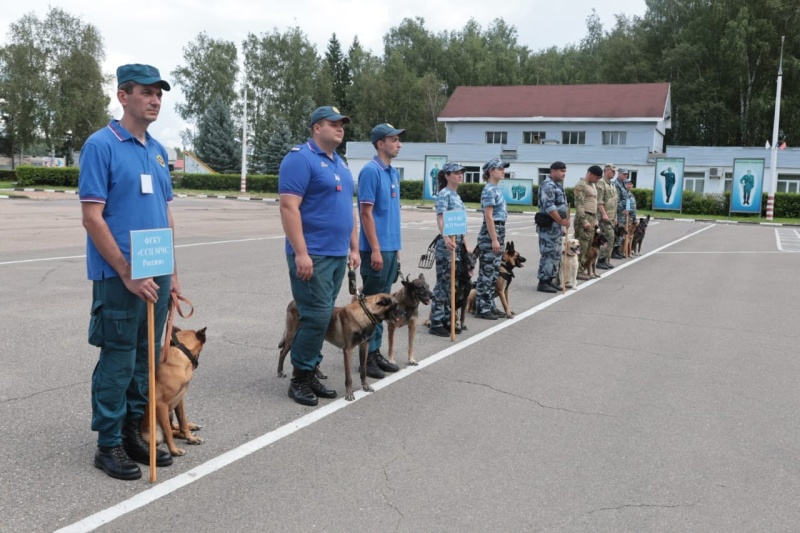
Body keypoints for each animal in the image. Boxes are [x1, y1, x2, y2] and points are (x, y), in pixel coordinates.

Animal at [142, 326, 208, 456]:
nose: (197, 364)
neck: (180, 351)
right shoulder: (160, 405)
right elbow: (168, 432)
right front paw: (173, 450)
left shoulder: (179, 399)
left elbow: (183, 421)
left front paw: (190, 438)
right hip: (156, 432)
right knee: (167, 432)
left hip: (170, 412)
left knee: (174, 427)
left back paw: (191, 429)